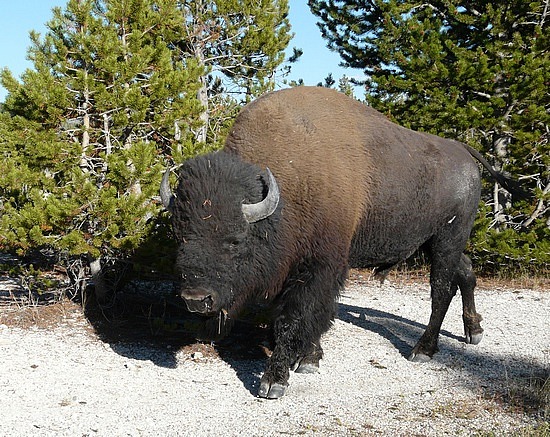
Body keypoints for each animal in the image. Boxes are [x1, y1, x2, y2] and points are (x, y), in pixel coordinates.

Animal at [161, 86, 528, 398]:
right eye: (181, 236)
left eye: (235, 240)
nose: (196, 300)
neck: (290, 182)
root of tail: (462, 150)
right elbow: (308, 316)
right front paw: (309, 359)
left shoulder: (320, 267)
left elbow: (294, 318)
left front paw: (275, 380)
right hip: (436, 241)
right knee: (465, 271)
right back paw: (473, 331)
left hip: (447, 239)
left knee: (442, 289)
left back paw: (422, 350)